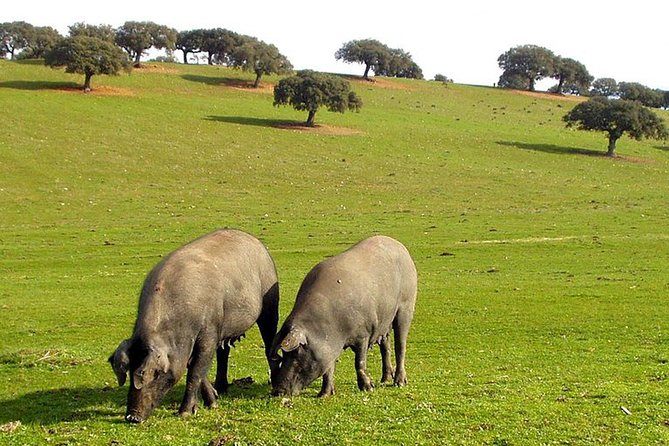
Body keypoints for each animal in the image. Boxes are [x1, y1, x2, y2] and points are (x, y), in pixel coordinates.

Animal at [268, 235, 414, 396]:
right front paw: (324, 395)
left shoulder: (363, 333)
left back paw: (399, 383)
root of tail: (400, 246)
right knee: (385, 345)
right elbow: (328, 369)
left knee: (400, 345)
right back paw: (384, 380)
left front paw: (368, 388)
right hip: (384, 322)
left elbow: (359, 362)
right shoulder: (329, 345)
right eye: (283, 355)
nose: (277, 391)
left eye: (296, 353)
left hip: (406, 306)